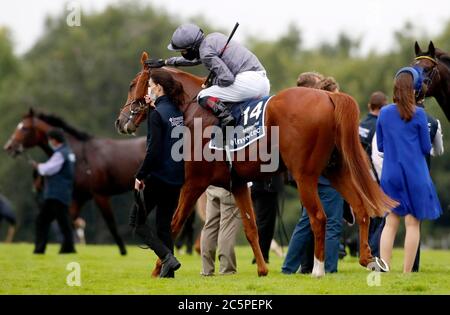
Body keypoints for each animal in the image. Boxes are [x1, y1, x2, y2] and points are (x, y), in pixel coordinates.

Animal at [3, 110, 148, 256]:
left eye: (24, 128)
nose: (9, 147)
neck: (81, 157)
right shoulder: (80, 197)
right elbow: (69, 221)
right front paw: (66, 248)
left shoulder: (100, 195)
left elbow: (110, 223)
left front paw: (123, 251)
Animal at [116, 52, 398, 278]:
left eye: (131, 85)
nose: (120, 121)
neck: (194, 111)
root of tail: (329, 97)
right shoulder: (238, 184)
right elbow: (251, 228)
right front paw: (262, 270)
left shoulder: (194, 182)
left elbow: (174, 224)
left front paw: (160, 268)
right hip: (336, 170)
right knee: (361, 209)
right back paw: (368, 259)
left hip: (305, 174)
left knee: (319, 217)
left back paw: (318, 270)